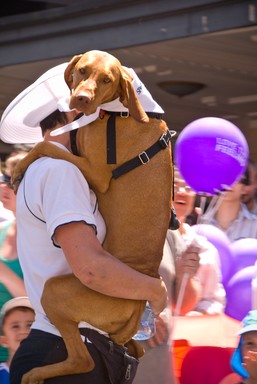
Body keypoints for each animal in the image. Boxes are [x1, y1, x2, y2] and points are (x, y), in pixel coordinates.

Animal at [12, 51, 172, 384]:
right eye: (82, 71)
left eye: (107, 80)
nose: (82, 99)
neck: (116, 112)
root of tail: (138, 306)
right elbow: (49, 143)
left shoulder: (97, 174)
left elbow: (45, 144)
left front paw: (19, 167)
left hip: (56, 291)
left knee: (83, 359)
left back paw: (35, 374)